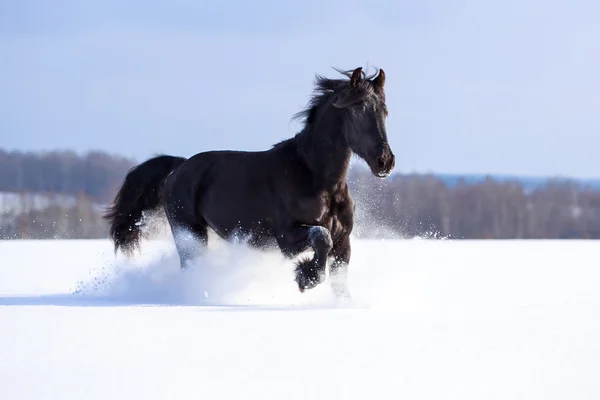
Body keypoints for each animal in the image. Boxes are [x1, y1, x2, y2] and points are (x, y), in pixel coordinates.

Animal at [104, 67, 394, 300]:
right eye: (358, 110)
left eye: (384, 111)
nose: (385, 161)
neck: (317, 180)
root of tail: (179, 167)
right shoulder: (287, 239)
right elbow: (320, 238)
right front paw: (305, 277)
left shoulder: (343, 241)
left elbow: (339, 282)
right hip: (189, 232)